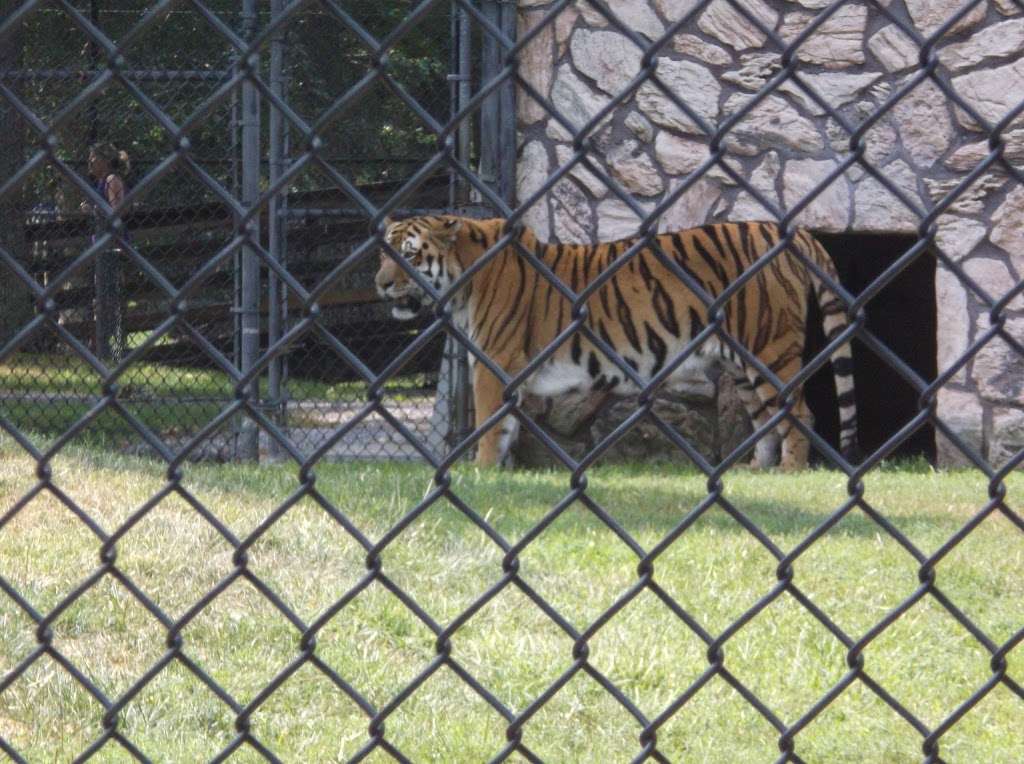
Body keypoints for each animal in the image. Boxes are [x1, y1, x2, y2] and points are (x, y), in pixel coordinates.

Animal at [374, 210, 856, 467]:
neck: (463, 282)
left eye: (410, 255)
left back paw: (789, 471)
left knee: (800, 413)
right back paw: (756, 471)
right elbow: (505, 425)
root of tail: (788, 231)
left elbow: (490, 426)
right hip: (741, 362)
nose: (379, 284)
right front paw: (495, 472)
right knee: (766, 418)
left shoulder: (495, 363)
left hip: (769, 349)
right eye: (384, 255)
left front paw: (481, 469)